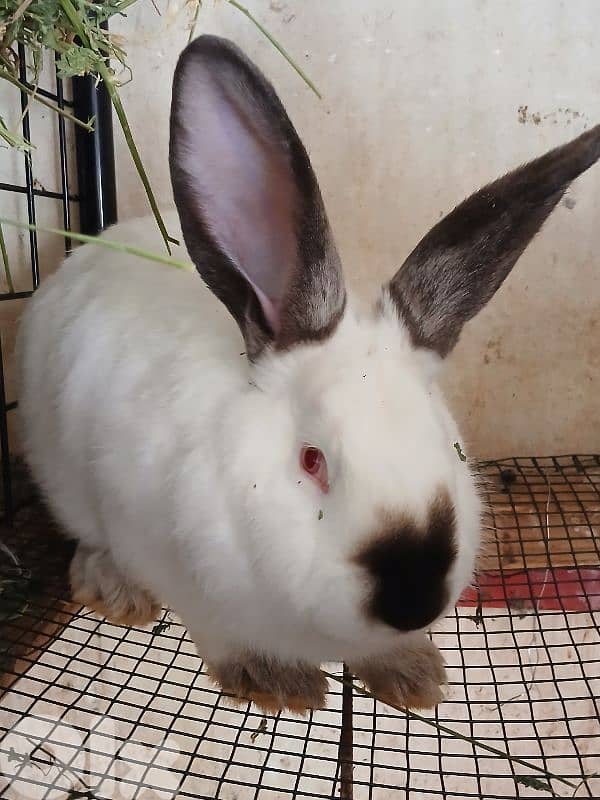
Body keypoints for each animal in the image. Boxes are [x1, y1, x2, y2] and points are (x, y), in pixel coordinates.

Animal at [16, 34, 600, 714]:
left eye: (451, 449)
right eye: (311, 460)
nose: (413, 599)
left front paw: (414, 674)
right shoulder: (175, 570)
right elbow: (222, 634)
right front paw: (278, 682)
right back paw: (117, 592)